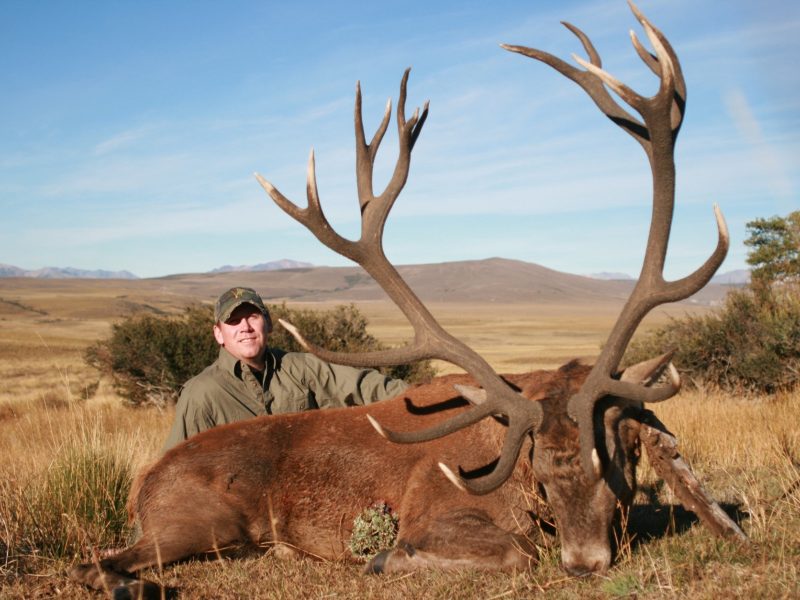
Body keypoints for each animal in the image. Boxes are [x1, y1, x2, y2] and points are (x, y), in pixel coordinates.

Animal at [70, 3, 745, 598]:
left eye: (619, 462)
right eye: (544, 473)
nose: (584, 562)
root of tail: (143, 480)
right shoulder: (435, 505)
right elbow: (514, 550)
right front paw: (386, 558)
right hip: (200, 521)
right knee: (93, 562)